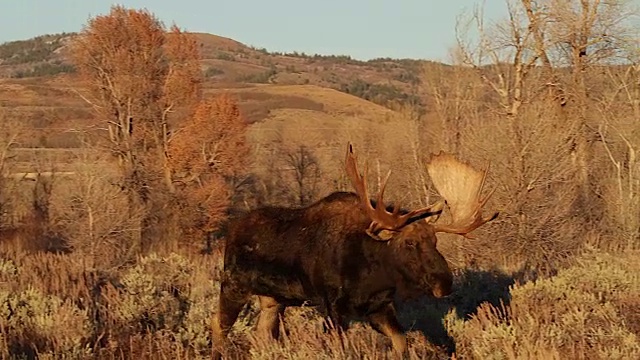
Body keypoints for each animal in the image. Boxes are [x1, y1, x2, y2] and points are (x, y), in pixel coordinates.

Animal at [212, 143, 498, 358]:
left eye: (435, 241)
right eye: (409, 243)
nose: (444, 283)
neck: (371, 275)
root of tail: (231, 230)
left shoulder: (379, 307)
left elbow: (401, 342)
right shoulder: (332, 305)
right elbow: (342, 349)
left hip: (272, 299)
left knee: (262, 335)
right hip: (234, 285)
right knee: (219, 325)